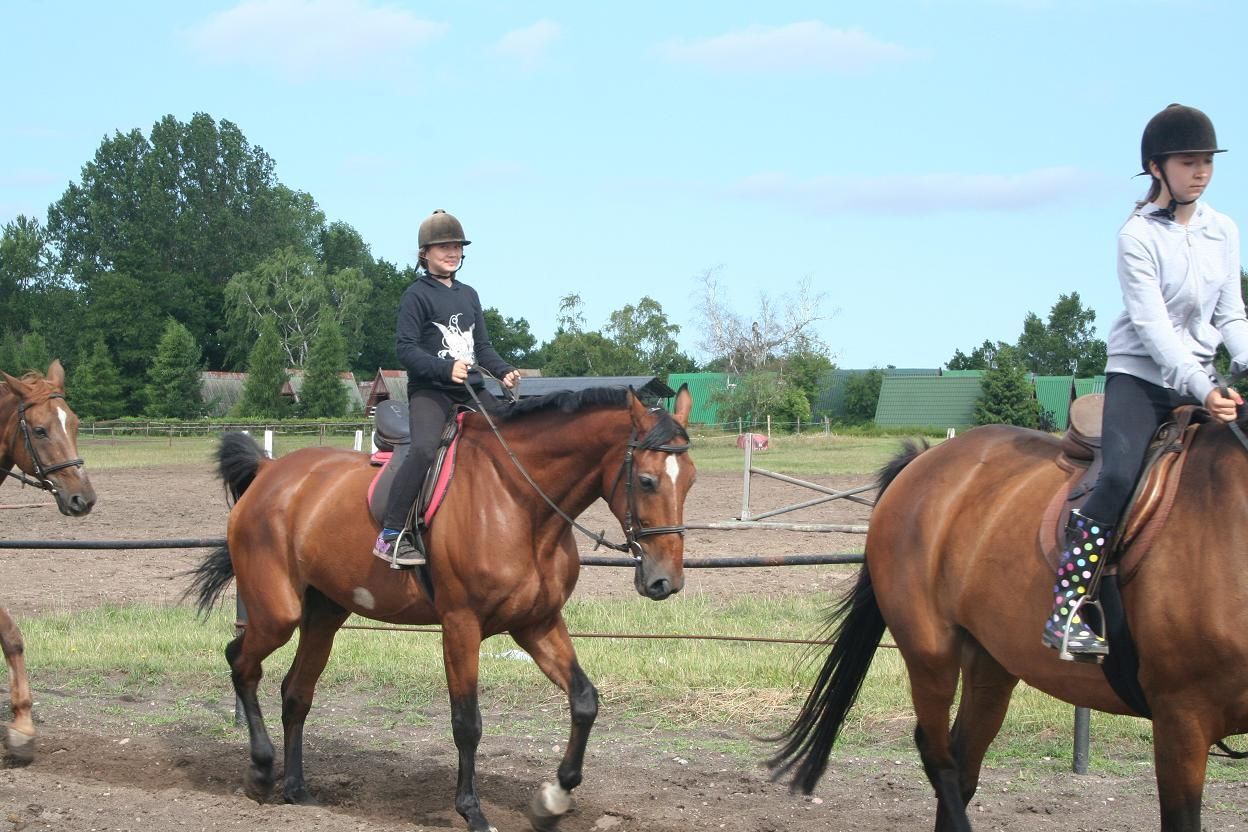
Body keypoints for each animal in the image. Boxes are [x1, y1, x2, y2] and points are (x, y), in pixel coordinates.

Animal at [188, 385, 695, 832]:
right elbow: (467, 723)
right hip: (278, 613)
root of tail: (270, 470)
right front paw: (472, 811)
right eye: (647, 481)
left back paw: (296, 789)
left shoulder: (537, 623)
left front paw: (552, 800)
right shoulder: (461, 626)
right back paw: (260, 772)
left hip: (325, 614)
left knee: (296, 691)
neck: (520, 502)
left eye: (690, 480)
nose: (664, 582)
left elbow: (584, 700)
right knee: (241, 662)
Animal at [769, 422, 1248, 832]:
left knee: (962, 760)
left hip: (990, 662)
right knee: (939, 756)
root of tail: (928, 457)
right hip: (930, 655)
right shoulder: (1181, 719)